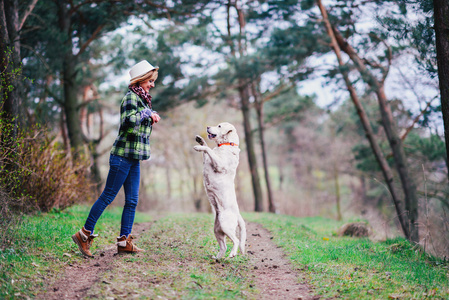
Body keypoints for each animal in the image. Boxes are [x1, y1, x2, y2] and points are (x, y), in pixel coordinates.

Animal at [193, 122, 247, 258]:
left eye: (219, 126)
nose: (207, 127)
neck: (227, 144)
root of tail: (238, 214)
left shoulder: (219, 164)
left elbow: (208, 150)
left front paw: (198, 147)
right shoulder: (207, 160)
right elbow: (207, 148)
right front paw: (200, 140)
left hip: (225, 225)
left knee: (236, 240)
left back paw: (232, 254)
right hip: (217, 230)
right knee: (223, 246)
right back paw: (217, 258)